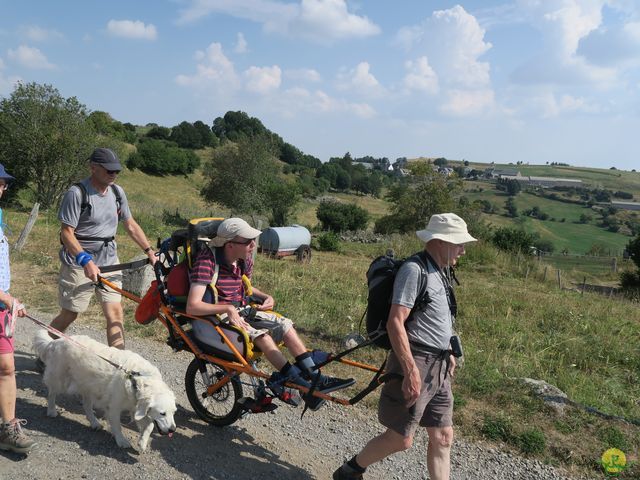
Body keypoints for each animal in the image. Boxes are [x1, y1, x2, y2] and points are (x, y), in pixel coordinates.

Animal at [33, 332, 176, 452]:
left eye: (173, 412)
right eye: (162, 413)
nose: (173, 429)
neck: (137, 378)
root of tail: (56, 341)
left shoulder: (136, 407)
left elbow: (149, 426)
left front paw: (142, 442)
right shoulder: (114, 407)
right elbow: (117, 426)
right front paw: (121, 441)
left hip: (88, 386)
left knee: (87, 406)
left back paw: (94, 423)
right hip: (59, 379)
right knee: (52, 394)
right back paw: (51, 411)